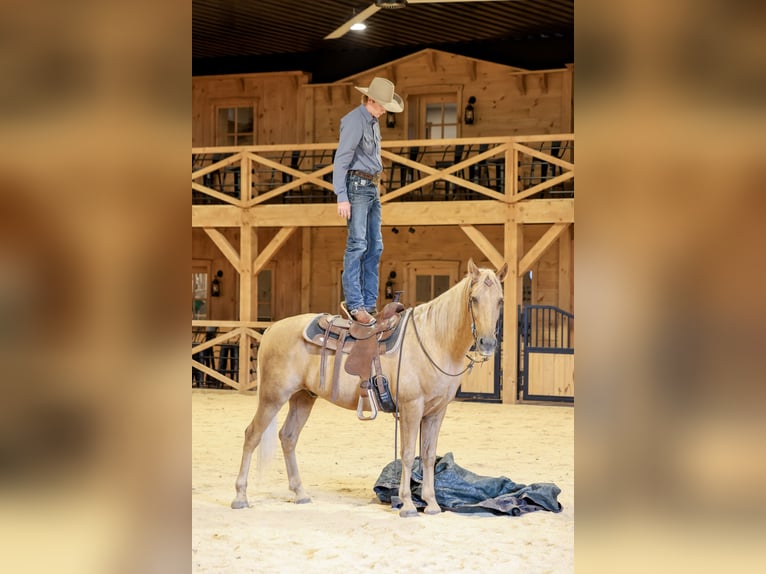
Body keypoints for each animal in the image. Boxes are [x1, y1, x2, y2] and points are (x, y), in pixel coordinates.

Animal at [231, 259, 508, 517]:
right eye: (474, 299)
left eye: (500, 301)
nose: (487, 343)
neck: (433, 340)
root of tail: (271, 329)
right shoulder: (411, 407)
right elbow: (408, 454)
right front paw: (408, 504)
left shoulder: (436, 412)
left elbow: (428, 455)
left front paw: (431, 504)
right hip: (272, 397)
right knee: (252, 435)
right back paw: (241, 497)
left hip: (303, 397)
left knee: (288, 437)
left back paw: (300, 493)